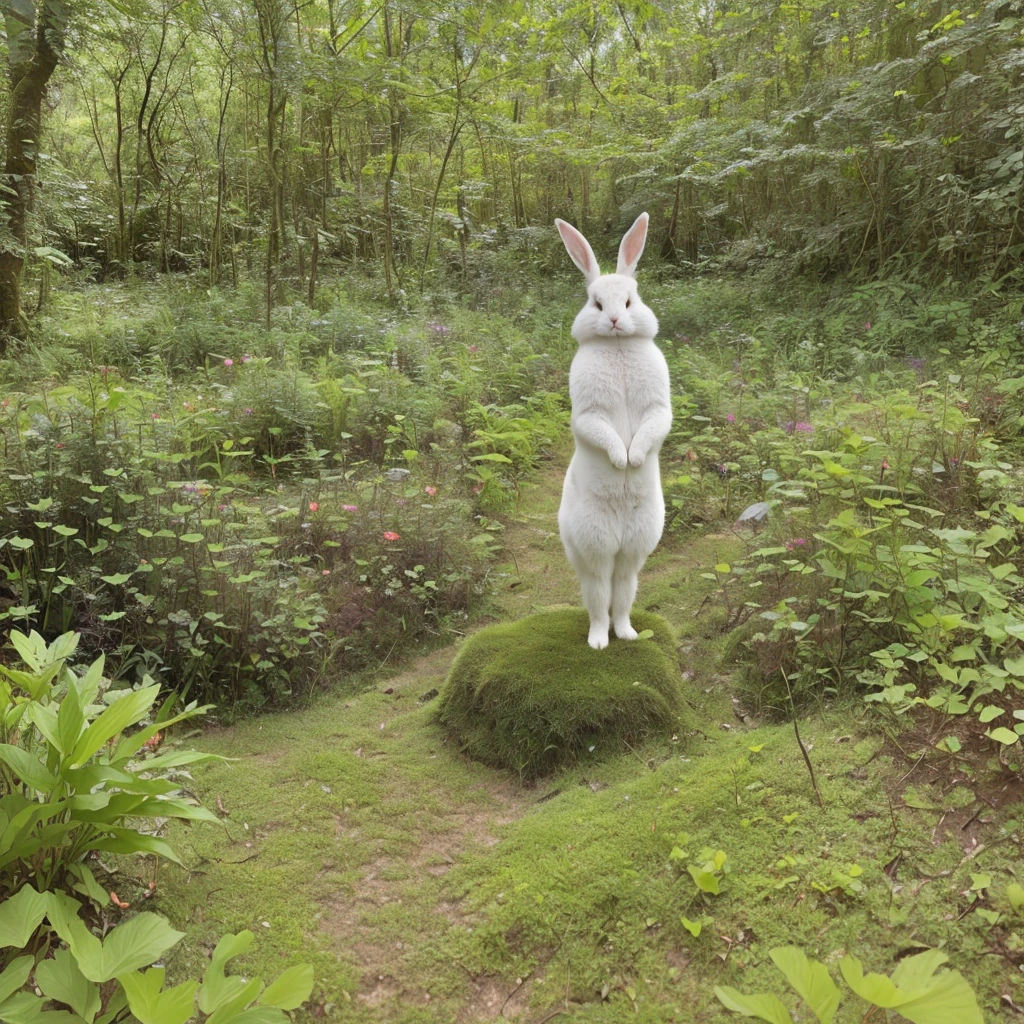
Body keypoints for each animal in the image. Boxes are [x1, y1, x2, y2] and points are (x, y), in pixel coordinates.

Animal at [552, 212, 671, 651]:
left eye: (631, 300)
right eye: (596, 303)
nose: (616, 321)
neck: (618, 347)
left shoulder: (659, 409)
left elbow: (653, 428)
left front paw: (634, 459)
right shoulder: (589, 414)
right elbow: (602, 433)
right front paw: (622, 461)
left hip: (636, 546)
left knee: (623, 589)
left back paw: (628, 633)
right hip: (594, 546)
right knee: (599, 594)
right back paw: (599, 641)